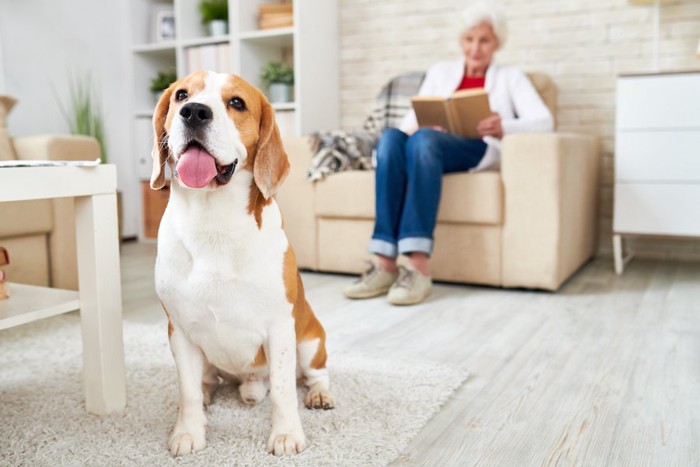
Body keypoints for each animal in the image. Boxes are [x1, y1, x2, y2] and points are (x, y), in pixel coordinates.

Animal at [150, 70, 334, 458]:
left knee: (314, 374)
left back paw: (319, 394)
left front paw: (286, 434)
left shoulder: (280, 328)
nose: (194, 112)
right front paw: (188, 431)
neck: (212, 223)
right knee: (206, 382)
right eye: (181, 95)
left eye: (236, 103)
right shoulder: (179, 331)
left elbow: (283, 391)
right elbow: (187, 392)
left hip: (310, 341)